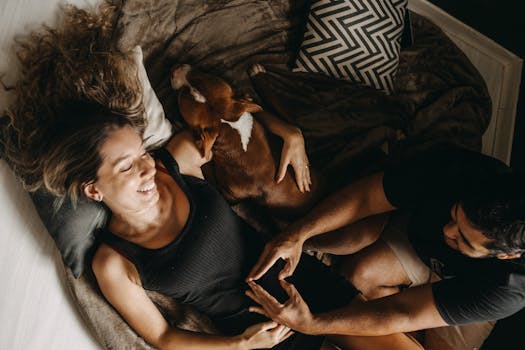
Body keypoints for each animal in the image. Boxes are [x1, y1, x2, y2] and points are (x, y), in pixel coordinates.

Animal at [170, 62, 322, 216]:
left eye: (182, 95)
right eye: (201, 75)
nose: (175, 69)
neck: (231, 131)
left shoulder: (228, 196)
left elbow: (207, 172)